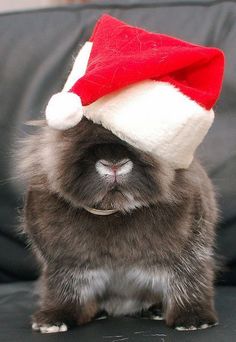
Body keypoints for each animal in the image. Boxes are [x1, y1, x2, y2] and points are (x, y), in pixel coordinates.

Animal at [19, 117, 218, 334]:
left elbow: (189, 283)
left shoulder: (189, 255)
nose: (114, 164)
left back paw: (156, 311)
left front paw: (193, 321)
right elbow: (65, 291)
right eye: (72, 133)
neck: (116, 209)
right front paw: (52, 321)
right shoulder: (63, 264)